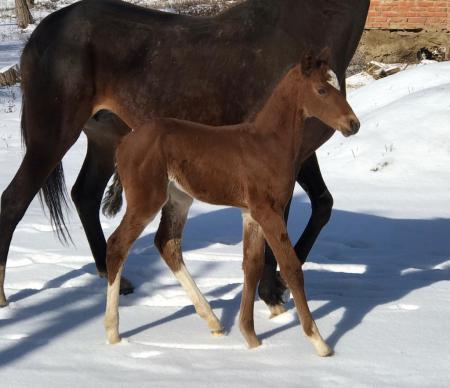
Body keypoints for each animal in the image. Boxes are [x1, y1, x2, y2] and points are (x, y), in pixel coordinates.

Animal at [0, 0, 370, 310]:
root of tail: (39, 36)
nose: (352, 124)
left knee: (85, 195)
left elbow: (322, 205)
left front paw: (276, 284)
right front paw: (272, 292)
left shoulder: (298, 155)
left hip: (104, 138)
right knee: (13, 202)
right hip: (51, 138)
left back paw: (114, 279)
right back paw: (5, 297)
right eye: (320, 89)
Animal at [103, 51, 360, 358]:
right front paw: (319, 342)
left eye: (338, 87)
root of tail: (123, 143)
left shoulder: (250, 213)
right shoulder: (267, 211)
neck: (268, 143)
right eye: (321, 90)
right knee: (117, 245)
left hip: (179, 198)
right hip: (146, 200)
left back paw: (213, 321)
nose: (353, 124)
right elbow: (291, 267)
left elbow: (251, 265)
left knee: (167, 243)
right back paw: (113, 332)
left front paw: (250, 337)